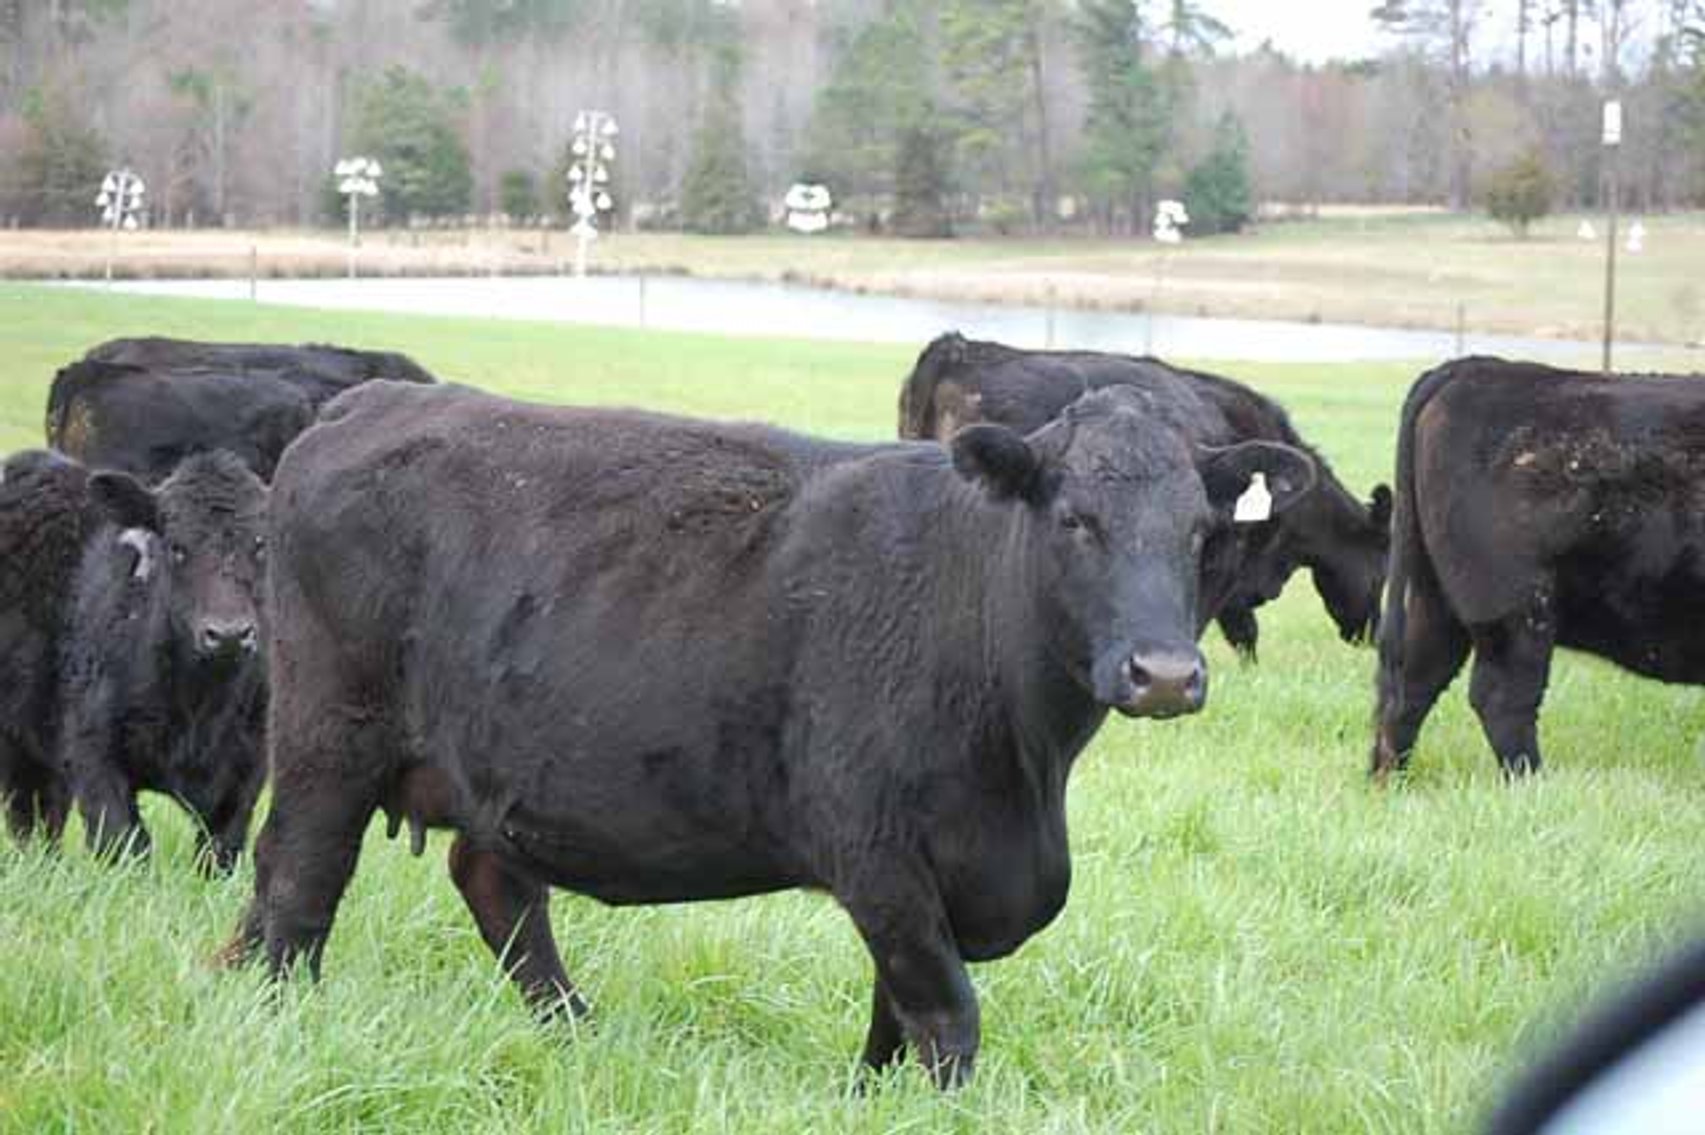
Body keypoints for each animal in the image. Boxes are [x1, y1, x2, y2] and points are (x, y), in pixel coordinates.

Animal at [0, 449, 271, 870]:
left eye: (260, 544)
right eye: (176, 547)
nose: (228, 634)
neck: (199, 707)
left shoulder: (249, 764)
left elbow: (220, 850)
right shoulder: (92, 749)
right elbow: (124, 841)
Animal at [221, 380, 1317, 1086]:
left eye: (1200, 531)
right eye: (1075, 519)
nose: (1163, 673)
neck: (1025, 770)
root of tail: (363, 403)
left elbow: (892, 1018)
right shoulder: (875, 850)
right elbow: (944, 1013)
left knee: (489, 886)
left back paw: (581, 1037)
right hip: (330, 737)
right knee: (300, 883)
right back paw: (281, 1018)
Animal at [1373, 357, 1705, 777]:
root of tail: (1477, 367)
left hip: (1435, 599)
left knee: (1412, 686)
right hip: (1516, 608)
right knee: (1502, 696)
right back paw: (1533, 781)